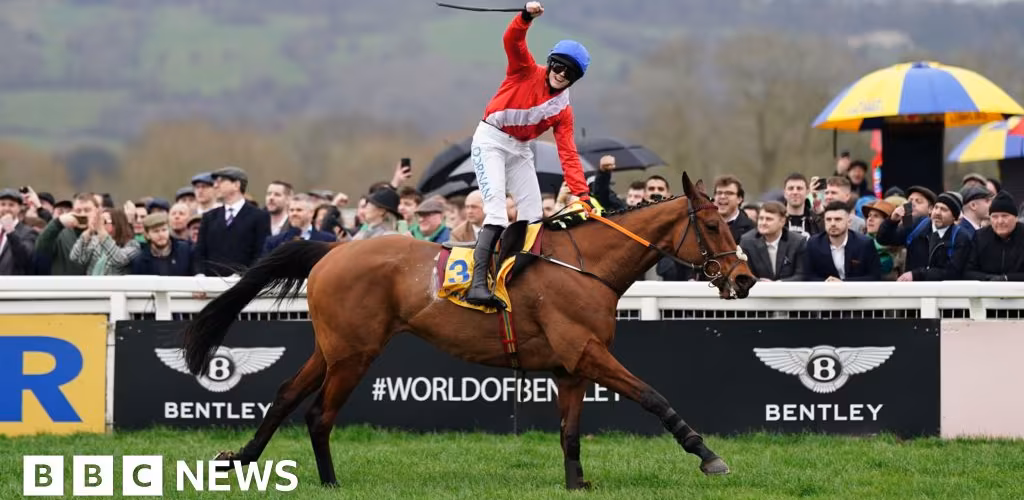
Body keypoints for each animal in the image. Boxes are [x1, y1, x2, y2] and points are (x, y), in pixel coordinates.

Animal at [181, 172, 757, 490]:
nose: (745, 278)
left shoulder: (570, 367)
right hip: (354, 352)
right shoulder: (587, 352)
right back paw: (329, 480)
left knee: (285, 396)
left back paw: (242, 459)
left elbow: (570, 432)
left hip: (334, 347)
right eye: (711, 225)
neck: (584, 265)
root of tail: (332, 249)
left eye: (730, 221)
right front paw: (707, 455)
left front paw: (576, 484)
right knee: (319, 413)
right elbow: (654, 396)